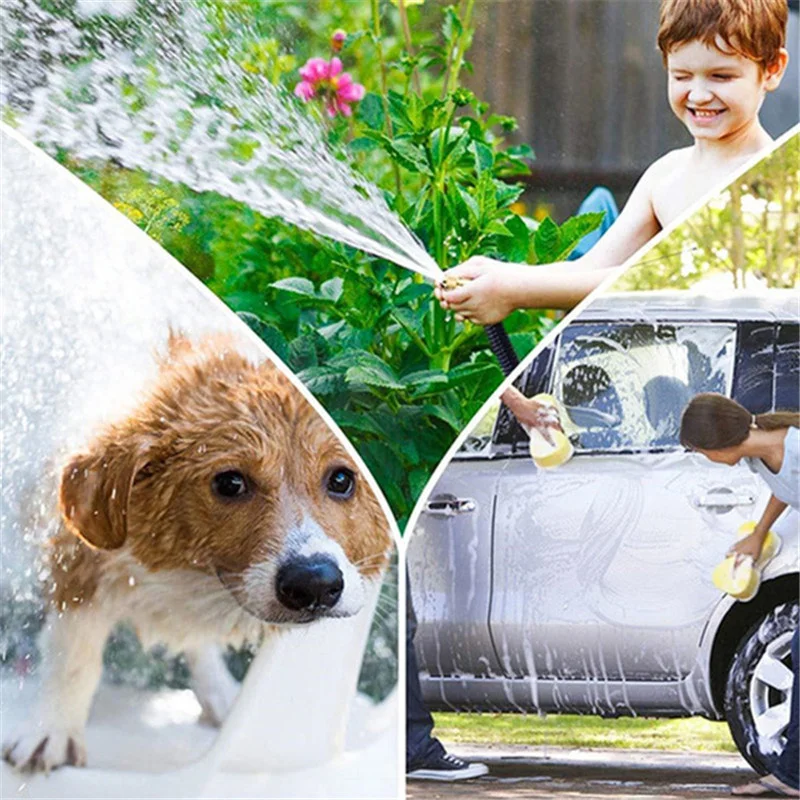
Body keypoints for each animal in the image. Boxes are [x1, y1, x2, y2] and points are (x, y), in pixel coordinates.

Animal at [1, 330, 392, 768]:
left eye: (342, 479)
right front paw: (50, 733)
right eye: (230, 483)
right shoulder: (80, 556)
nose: (315, 584)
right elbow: (74, 655)